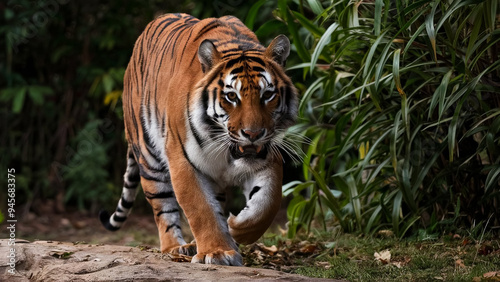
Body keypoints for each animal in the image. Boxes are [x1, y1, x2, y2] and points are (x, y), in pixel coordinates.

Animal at [99, 12, 298, 264]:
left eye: (268, 95)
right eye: (231, 96)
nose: (253, 134)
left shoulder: (267, 158)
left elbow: (267, 203)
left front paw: (236, 228)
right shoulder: (182, 160)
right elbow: (200, 209)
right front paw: (217, 252)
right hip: (149, 158)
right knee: (163, 208)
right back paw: (175, 247)